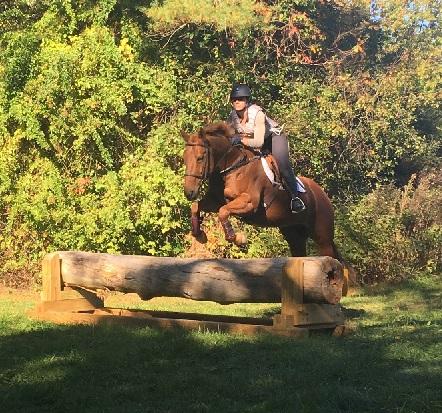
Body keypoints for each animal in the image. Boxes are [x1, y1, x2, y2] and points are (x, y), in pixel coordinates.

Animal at [181, 120, 344, 264]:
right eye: (184, 158)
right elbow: (196, 206)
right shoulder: (215, 201)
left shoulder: (249, 203)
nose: (189, 192)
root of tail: (323, 194)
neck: (233, 166)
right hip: (294, 234)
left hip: (323, 237)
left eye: (200, 158)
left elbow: (223, 211)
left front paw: (238, 238)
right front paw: (199, 235)